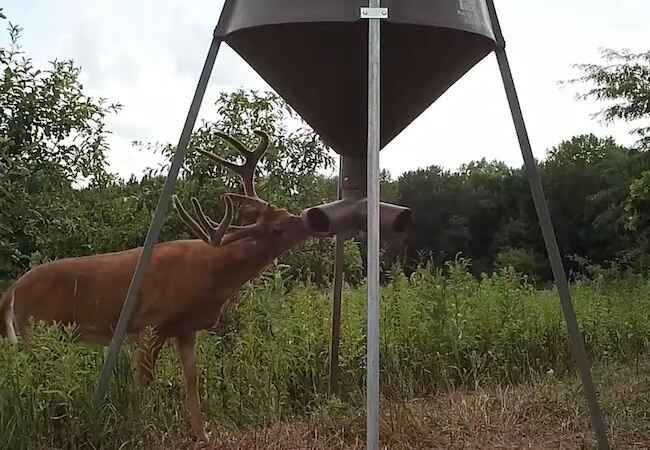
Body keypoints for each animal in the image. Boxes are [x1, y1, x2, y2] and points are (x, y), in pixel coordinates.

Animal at [0, 130, 326, 441]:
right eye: (278, 227)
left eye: (284, 211)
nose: (309, 218)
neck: (212, 276)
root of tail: (11, 290)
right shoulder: (149, 323)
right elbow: (144, 381)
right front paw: (145, 427)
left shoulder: (185, 328)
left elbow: (192, 379)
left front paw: (201, 433)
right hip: (36, 329)